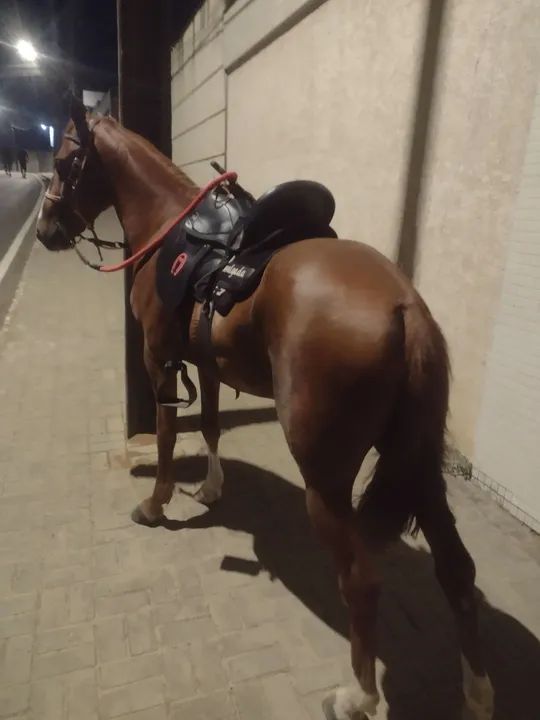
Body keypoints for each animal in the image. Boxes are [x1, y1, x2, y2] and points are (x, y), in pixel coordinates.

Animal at [36, 97, 493, 720]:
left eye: (65, 161)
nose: (44, 230)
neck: (170, 227)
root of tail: (406, 308)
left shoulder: (159, 359)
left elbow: (165, 434)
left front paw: (155, 504)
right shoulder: (203, 362)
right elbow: (208, 425)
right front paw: (210, 487)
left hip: (325, 478)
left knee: (362, 582)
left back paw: (358, 694)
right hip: (419, 466)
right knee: (457, 571)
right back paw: (477, 690)